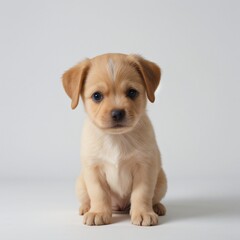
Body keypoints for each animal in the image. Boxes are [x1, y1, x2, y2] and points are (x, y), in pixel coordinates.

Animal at [62, 53, 167, 226]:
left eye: (132, 92)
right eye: (97, 96)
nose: (117, 113)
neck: (117, 139)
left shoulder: (145, 167)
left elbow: (142, 194)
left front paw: (143, 212)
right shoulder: (94, 170)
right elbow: (98, 194)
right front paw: (98, 212)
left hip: (161, 181)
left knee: (154, 198)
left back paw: (157, 207)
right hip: (81, 184)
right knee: (88, 199)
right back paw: (86, 207)